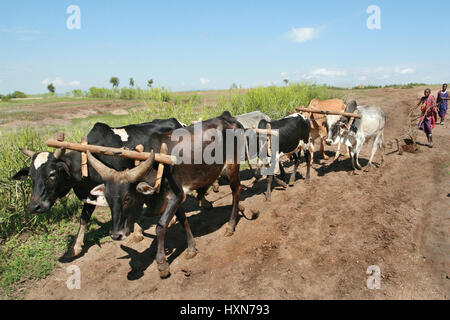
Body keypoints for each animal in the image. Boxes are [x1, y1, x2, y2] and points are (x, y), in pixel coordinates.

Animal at [11, 119, 185, 256]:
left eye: (52, 174)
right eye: (31, 176)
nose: (34, 207)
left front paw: (136, 232)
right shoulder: (91, 193)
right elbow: (83, 218)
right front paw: (75, 247)